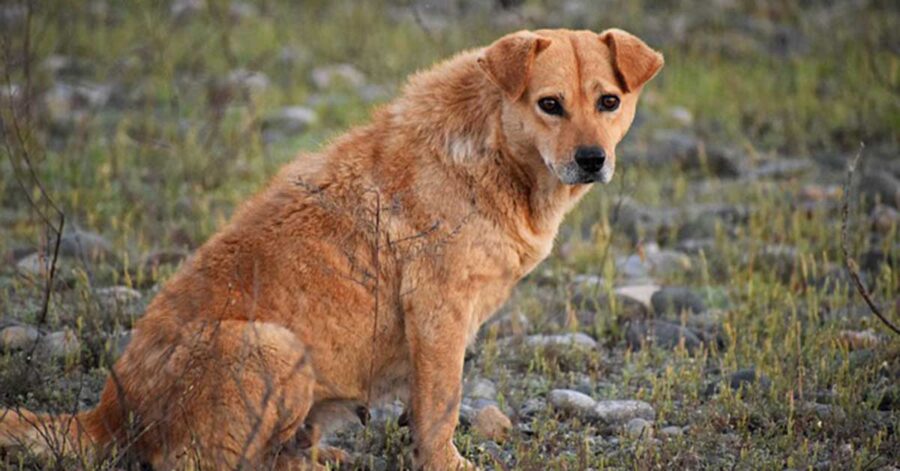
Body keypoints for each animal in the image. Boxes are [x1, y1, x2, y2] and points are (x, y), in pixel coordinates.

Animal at [0, 28, 660, 468]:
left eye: (609, 102)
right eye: (550, 104)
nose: (592, 159)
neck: (496, 151)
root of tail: (106, 412)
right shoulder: (439, 312)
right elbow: (441, 411)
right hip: (275, 347)